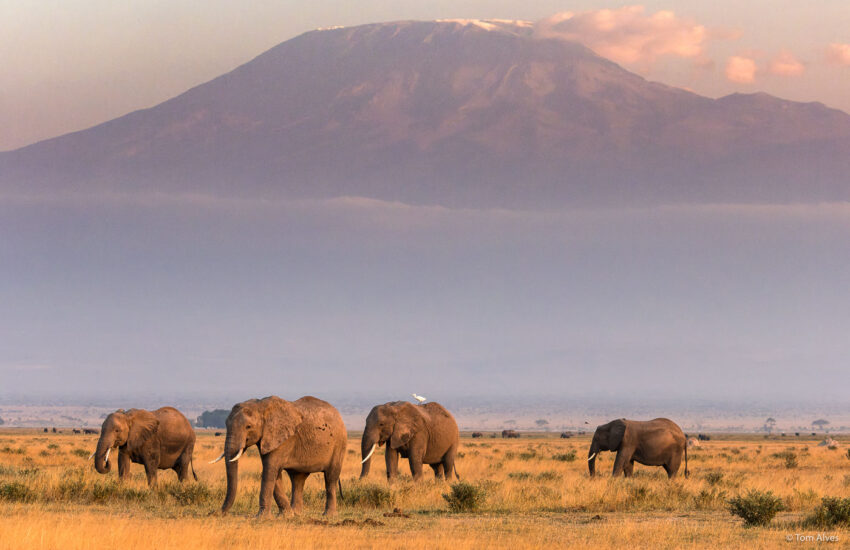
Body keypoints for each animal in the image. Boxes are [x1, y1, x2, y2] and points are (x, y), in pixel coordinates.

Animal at [212, 396, 346, 517]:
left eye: (248, 427)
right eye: (225, 424)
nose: (217, 513)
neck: (260, 405)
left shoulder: (283, 439)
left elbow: (270, 469)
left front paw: (262, 517)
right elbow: (273, 472)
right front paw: (286, 515)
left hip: (339, 445)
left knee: (330, 478)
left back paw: (329, 515)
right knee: (298, 479)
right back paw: (296, 513)